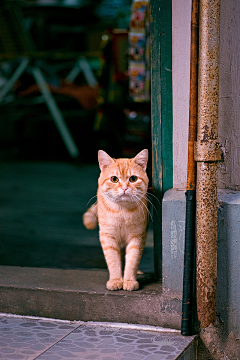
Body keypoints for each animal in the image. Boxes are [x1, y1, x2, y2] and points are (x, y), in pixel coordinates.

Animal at [83, 149, 149, 290]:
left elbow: (132, 260)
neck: (122, 213)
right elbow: (113, 260)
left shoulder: (137, 236)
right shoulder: (108, 236)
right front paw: (115, 280)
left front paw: (129, 280)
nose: (124, 188)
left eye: (133, 178)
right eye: (114, 179)